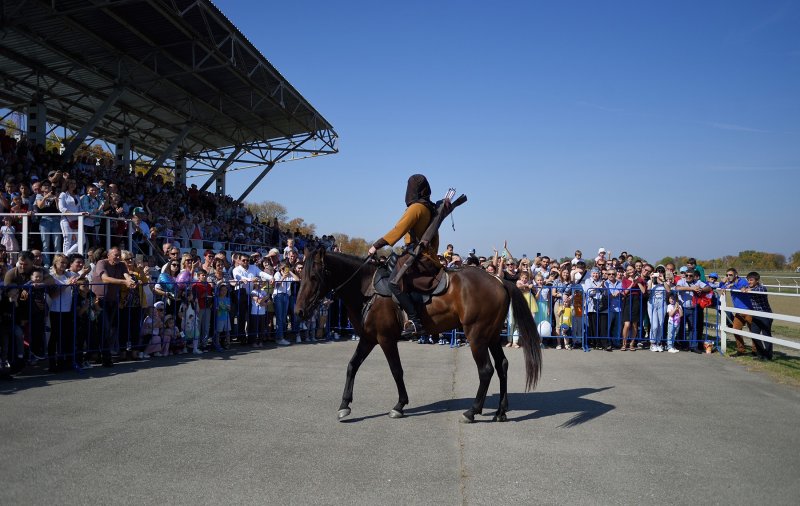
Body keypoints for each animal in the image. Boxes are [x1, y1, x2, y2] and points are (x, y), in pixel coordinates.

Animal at [296, 245, 544, 422]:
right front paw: (344, 405)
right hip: (490, 336)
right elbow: (352, 366)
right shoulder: (368, 339)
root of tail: (499, 280)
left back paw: (472, 411)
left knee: (486, 370)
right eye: (303, 275)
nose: (299, 312)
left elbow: (396, 370)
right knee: (502, 366)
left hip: (477, 336)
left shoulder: (385, 340)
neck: (367, 289)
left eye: (315, 277)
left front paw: (399, 405)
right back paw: (500, 411)